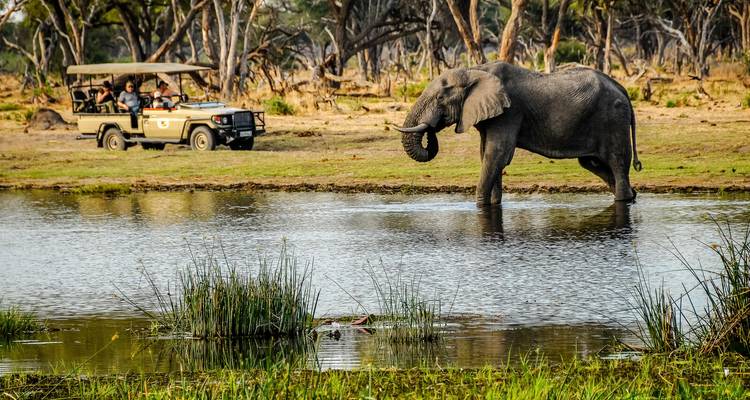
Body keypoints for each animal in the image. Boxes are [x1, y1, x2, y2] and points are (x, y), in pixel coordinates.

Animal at [393, 62, 642, 205]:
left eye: (440, 98)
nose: (431, 127)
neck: (475, 70)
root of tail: (622, 88)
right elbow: (487, 156)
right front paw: (493, 204)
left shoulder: (510, 112)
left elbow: (496, 155)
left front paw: (480, 206)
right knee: (593, 163)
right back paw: (632, 195)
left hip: (613, 119)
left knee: (617, 162)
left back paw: (623, 198)